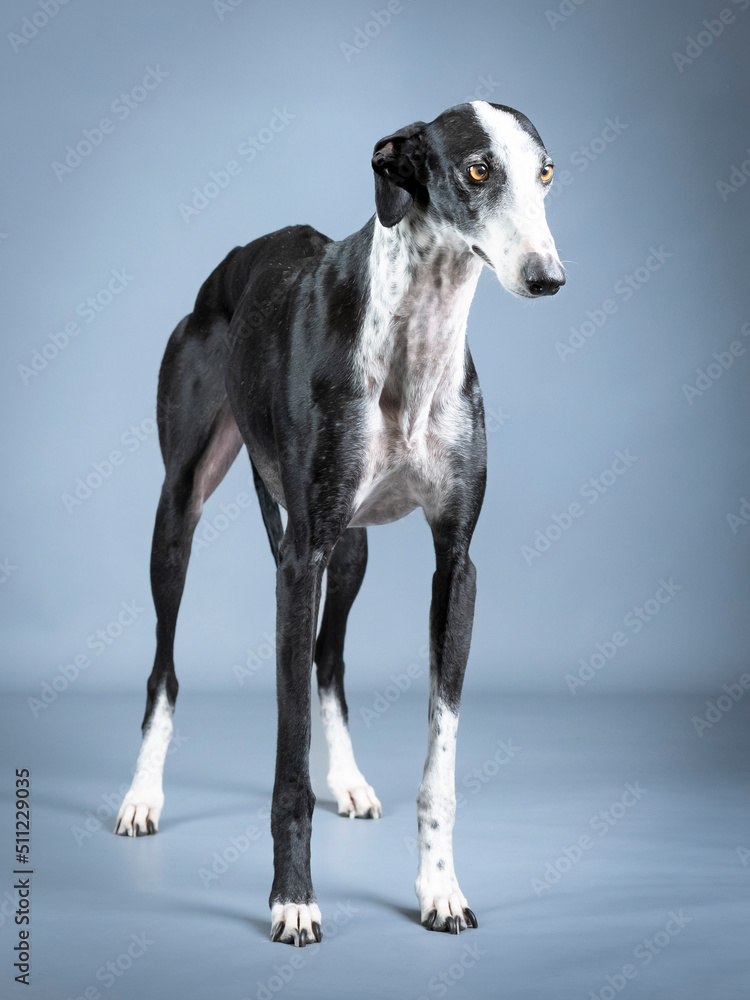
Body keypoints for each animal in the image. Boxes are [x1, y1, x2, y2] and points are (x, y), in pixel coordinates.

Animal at [114, 99, 564, 944]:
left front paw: (439, 890)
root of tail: (236, 260)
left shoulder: (455, 560)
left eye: (546, 172)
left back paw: (349, 780)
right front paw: (293, 900)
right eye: (477, 169)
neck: (416, 336)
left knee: (329, 659)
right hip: (182, 509)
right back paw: (142, 795)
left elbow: (440, 753)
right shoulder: (299, 562)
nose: (547, 277)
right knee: (165, 667)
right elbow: (286, 764)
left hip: (350, 549)